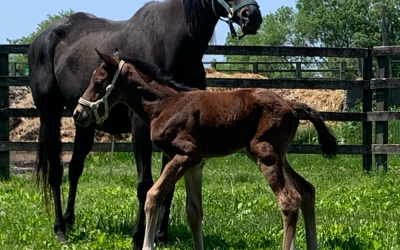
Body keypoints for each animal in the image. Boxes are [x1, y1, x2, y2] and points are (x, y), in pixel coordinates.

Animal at [73, 50, 336, 250]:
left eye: (98, 83)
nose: (78, 113)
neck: (164, 106)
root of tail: (291, 103)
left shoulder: (185, 154)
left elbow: (153, 196)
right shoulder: (196, 164)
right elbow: (194, 212)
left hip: (265, 153)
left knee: (289, 199)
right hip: (277, 155)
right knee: (307, 190)